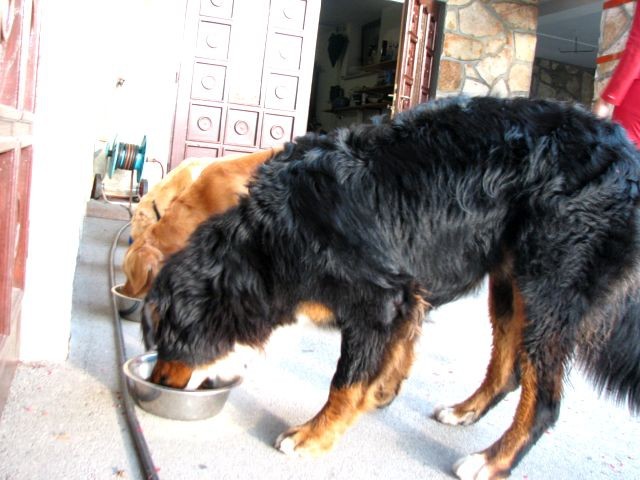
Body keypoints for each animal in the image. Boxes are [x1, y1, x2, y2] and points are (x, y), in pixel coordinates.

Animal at [144, 97, 640, 480]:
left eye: (166, 339)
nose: (155, 383)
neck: (271, 240)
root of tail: (628, 157)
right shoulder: (405, 295)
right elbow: (398, 349)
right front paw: (382, 388)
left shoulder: (381, 298)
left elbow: (345, 381)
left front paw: (314, 434)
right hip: (511, 282)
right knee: (508, 369)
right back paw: (466, 411)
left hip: (550, 287)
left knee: (545, 400)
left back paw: (490, 461)